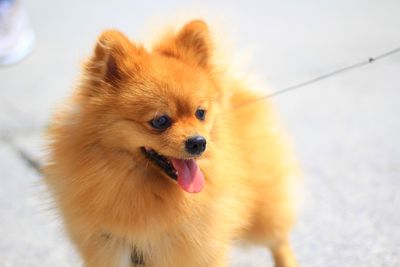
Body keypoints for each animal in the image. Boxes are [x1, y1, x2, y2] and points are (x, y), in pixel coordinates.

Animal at [43, 19, 300, 267]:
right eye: (160, 121)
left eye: (200, 113)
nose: (199, 142)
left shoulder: (202, 253)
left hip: (262, 213)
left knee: (279, 239)